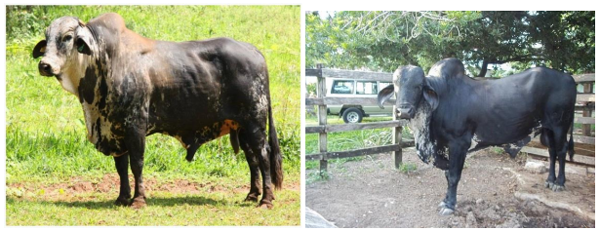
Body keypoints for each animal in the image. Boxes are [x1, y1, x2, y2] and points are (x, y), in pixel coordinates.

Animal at [32, 12, 284, 208]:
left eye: (67, 37)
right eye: (47, 38)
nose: (44, 65)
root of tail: (254, 51)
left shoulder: (135, 126)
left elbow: (137, 164)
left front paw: (138, 199)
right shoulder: (115, 130)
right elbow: (121, 167)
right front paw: (122, 198)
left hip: (255, 123)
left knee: (263, 155)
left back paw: (266, 200)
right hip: (242, 127)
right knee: (252, 158)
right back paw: (252, 195)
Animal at [378, 58, 580, 216]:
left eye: (418, 86)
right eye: (396, 86)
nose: (403, 110)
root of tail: (569, 77)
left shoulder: (459, 143)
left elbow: (453, 176)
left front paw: (450, 205)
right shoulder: (443, 146)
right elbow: (447, 174)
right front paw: (445, 200)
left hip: (560, 126)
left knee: (561, 151)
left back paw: (559, 183)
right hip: (547, 130)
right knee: (552, 151)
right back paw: (550, 180)